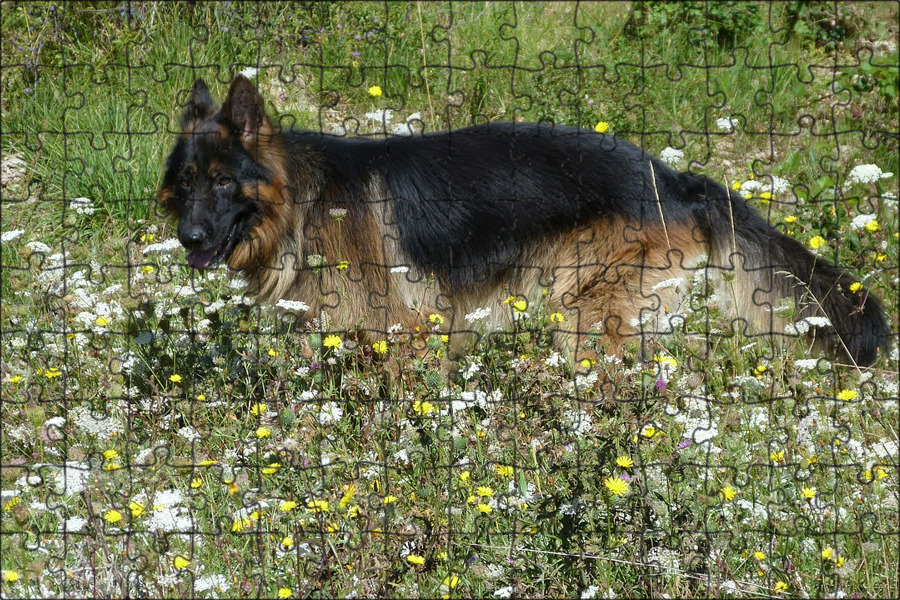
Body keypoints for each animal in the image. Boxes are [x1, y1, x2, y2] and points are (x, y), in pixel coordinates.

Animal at [158, 75, 888, 366]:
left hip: (585, 311)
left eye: (224, 182)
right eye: (186, 185)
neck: (304, 203)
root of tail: (674, 179)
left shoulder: (404, 333)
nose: (189, 239)